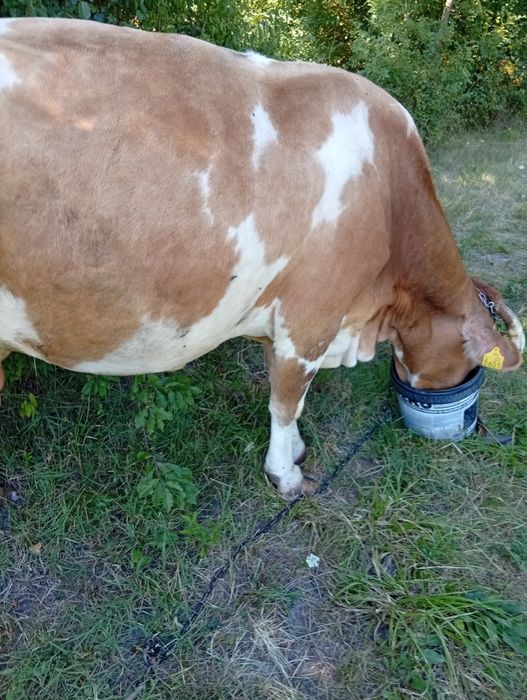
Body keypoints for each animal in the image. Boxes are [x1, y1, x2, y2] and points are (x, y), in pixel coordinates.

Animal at [0, 18, 523, 496]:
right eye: (469, 366)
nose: (469, 418)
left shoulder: (280, 317)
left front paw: (294, 450)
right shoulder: (311, 318)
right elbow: (288, 401)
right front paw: (286, 474)